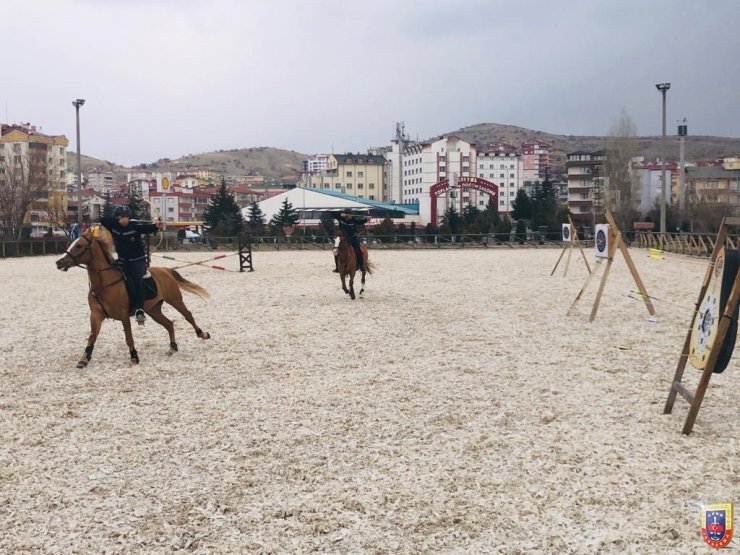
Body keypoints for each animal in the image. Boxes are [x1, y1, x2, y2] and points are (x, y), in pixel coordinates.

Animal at [55, 226, 210, 370]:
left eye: (79, 245)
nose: (59, 262)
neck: (104, 283)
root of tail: (165, 270)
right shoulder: (96, 315)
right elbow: (92, 337)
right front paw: (84, 359)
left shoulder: (124, 316)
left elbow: (128, 338)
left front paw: (134, 357)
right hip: (154, 310)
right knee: (169, 324)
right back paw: (172, 347)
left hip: (175, 300)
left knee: (188, 315)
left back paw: (202, 334)